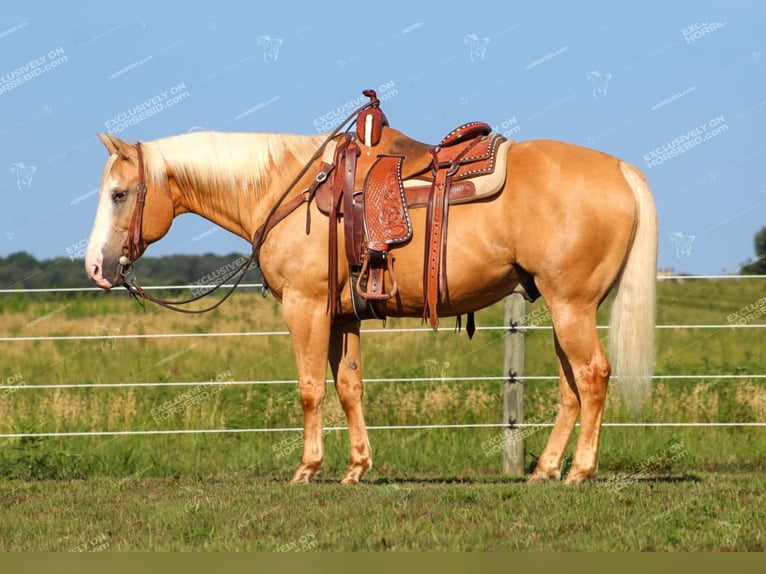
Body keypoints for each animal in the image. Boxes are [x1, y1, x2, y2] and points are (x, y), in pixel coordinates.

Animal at [85, 121, 660, 486]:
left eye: (119, 194)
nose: (95, 267)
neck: (287, 189)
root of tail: (621, 169)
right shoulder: (342, 317)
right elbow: (349, 389)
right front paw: (356, 468)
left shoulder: (305, 307)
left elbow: (311, 390)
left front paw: (307, 469)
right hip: (566, 306)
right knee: (571, 387)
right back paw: (545, 471)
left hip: (571, 305)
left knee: (592, 376)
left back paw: (580, 472)